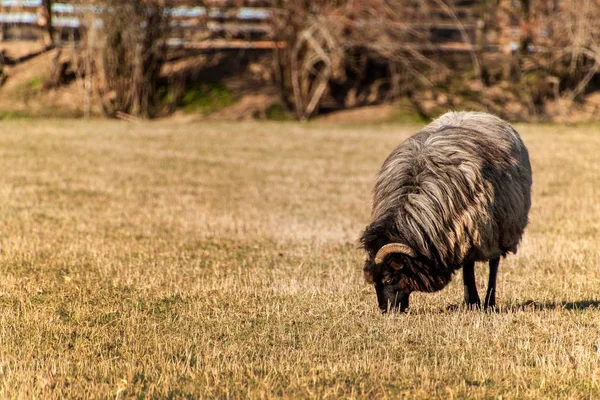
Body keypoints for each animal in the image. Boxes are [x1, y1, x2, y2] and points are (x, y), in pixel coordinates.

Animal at [358, 110, 532, 312]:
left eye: (388, 278)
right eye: (373, 280)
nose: (385, 310)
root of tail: (479, 113)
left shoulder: (470, 230)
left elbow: (469, 268)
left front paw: (473, 302)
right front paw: (471, 302)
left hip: (501, 228)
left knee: (493, 263)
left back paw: (489, 302)